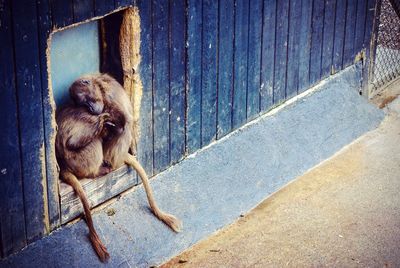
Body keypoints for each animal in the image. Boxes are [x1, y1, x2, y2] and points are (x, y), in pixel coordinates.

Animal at [54, 78, 112, 262]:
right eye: (85, 103)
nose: (92, 109)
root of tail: (64, 167)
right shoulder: (86, 117)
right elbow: (73, 142)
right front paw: (103, 122)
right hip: (80, 162)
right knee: (92, 141)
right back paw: (97, 171)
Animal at [71, 74, 184, 232]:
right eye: (84, 105)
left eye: (87, 101)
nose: (91, 108)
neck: (100, 86)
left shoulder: (109, 96)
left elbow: (120, 123)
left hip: (111, 154)